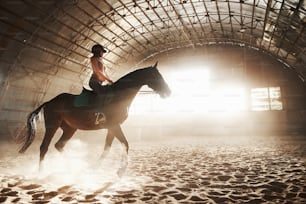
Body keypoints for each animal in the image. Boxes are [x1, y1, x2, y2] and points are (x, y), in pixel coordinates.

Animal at [17, 62, 171, 174]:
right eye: (156, 76)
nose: (168, 92)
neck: (119, 95)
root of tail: (49, 101)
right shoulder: (114, 125)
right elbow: (125, 144)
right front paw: (121, 169)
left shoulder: (112, 127)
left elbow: (108, 148)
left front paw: (95, 167)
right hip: (52, 126)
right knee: (44, 147)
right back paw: (41, 171)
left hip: (70, 128)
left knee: (59, 145)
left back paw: (72, 165)